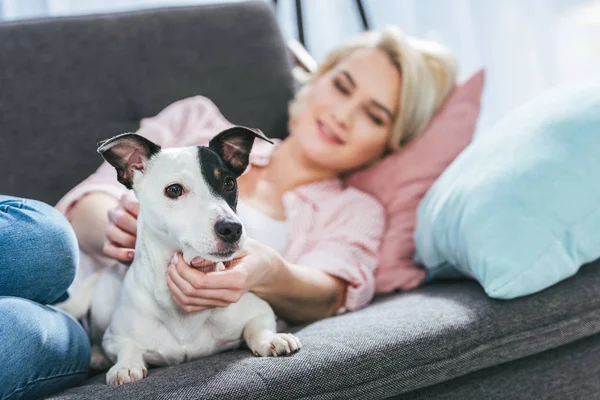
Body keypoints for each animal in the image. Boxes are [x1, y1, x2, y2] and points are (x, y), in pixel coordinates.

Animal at [58, 126, 302, 386]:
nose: (232, 228)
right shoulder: (115, 337)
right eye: (174, 190)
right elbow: (127, 347)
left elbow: (257, 327)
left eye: (228, 183)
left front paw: (271, 339)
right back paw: (96, 357)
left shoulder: (259, 311)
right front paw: (126, 365)